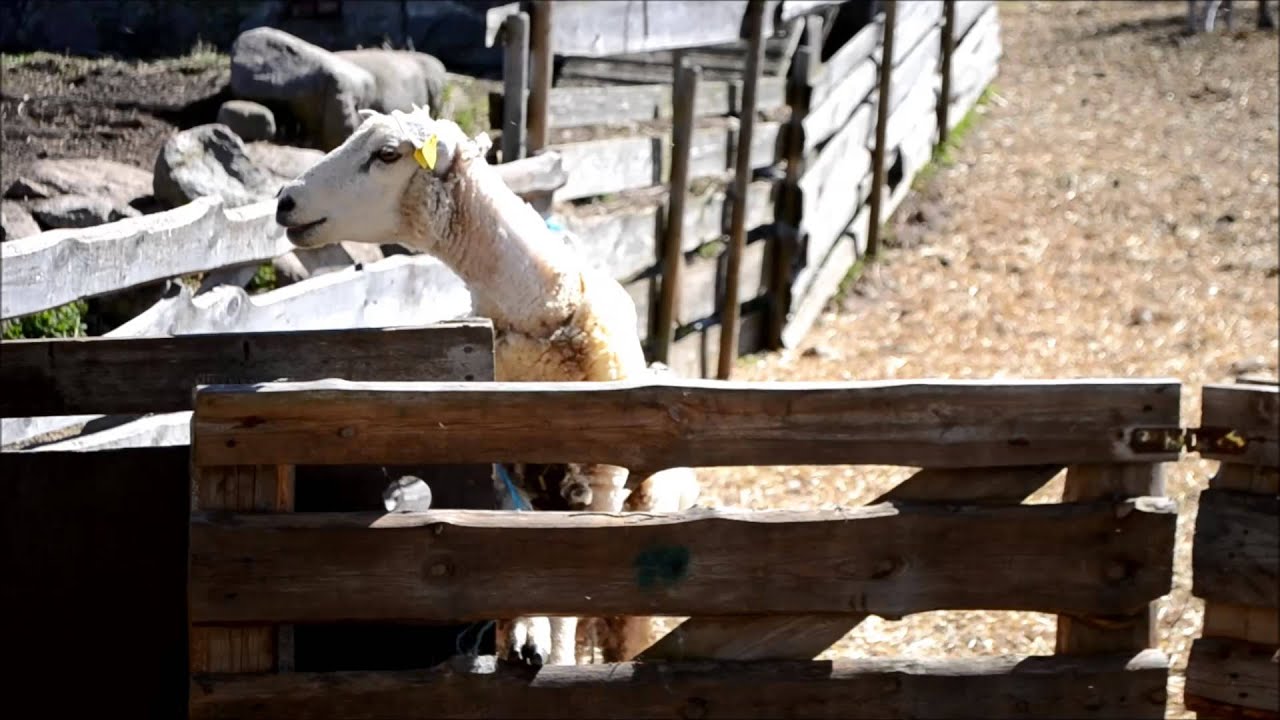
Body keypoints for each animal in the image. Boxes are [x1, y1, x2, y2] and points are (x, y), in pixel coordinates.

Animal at [274, 105, 700, 667]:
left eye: (386, 154)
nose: (285, 200)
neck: (545, 303)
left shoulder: (603, 485)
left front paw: (555, 660)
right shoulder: (507, 481)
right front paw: (525, 641)